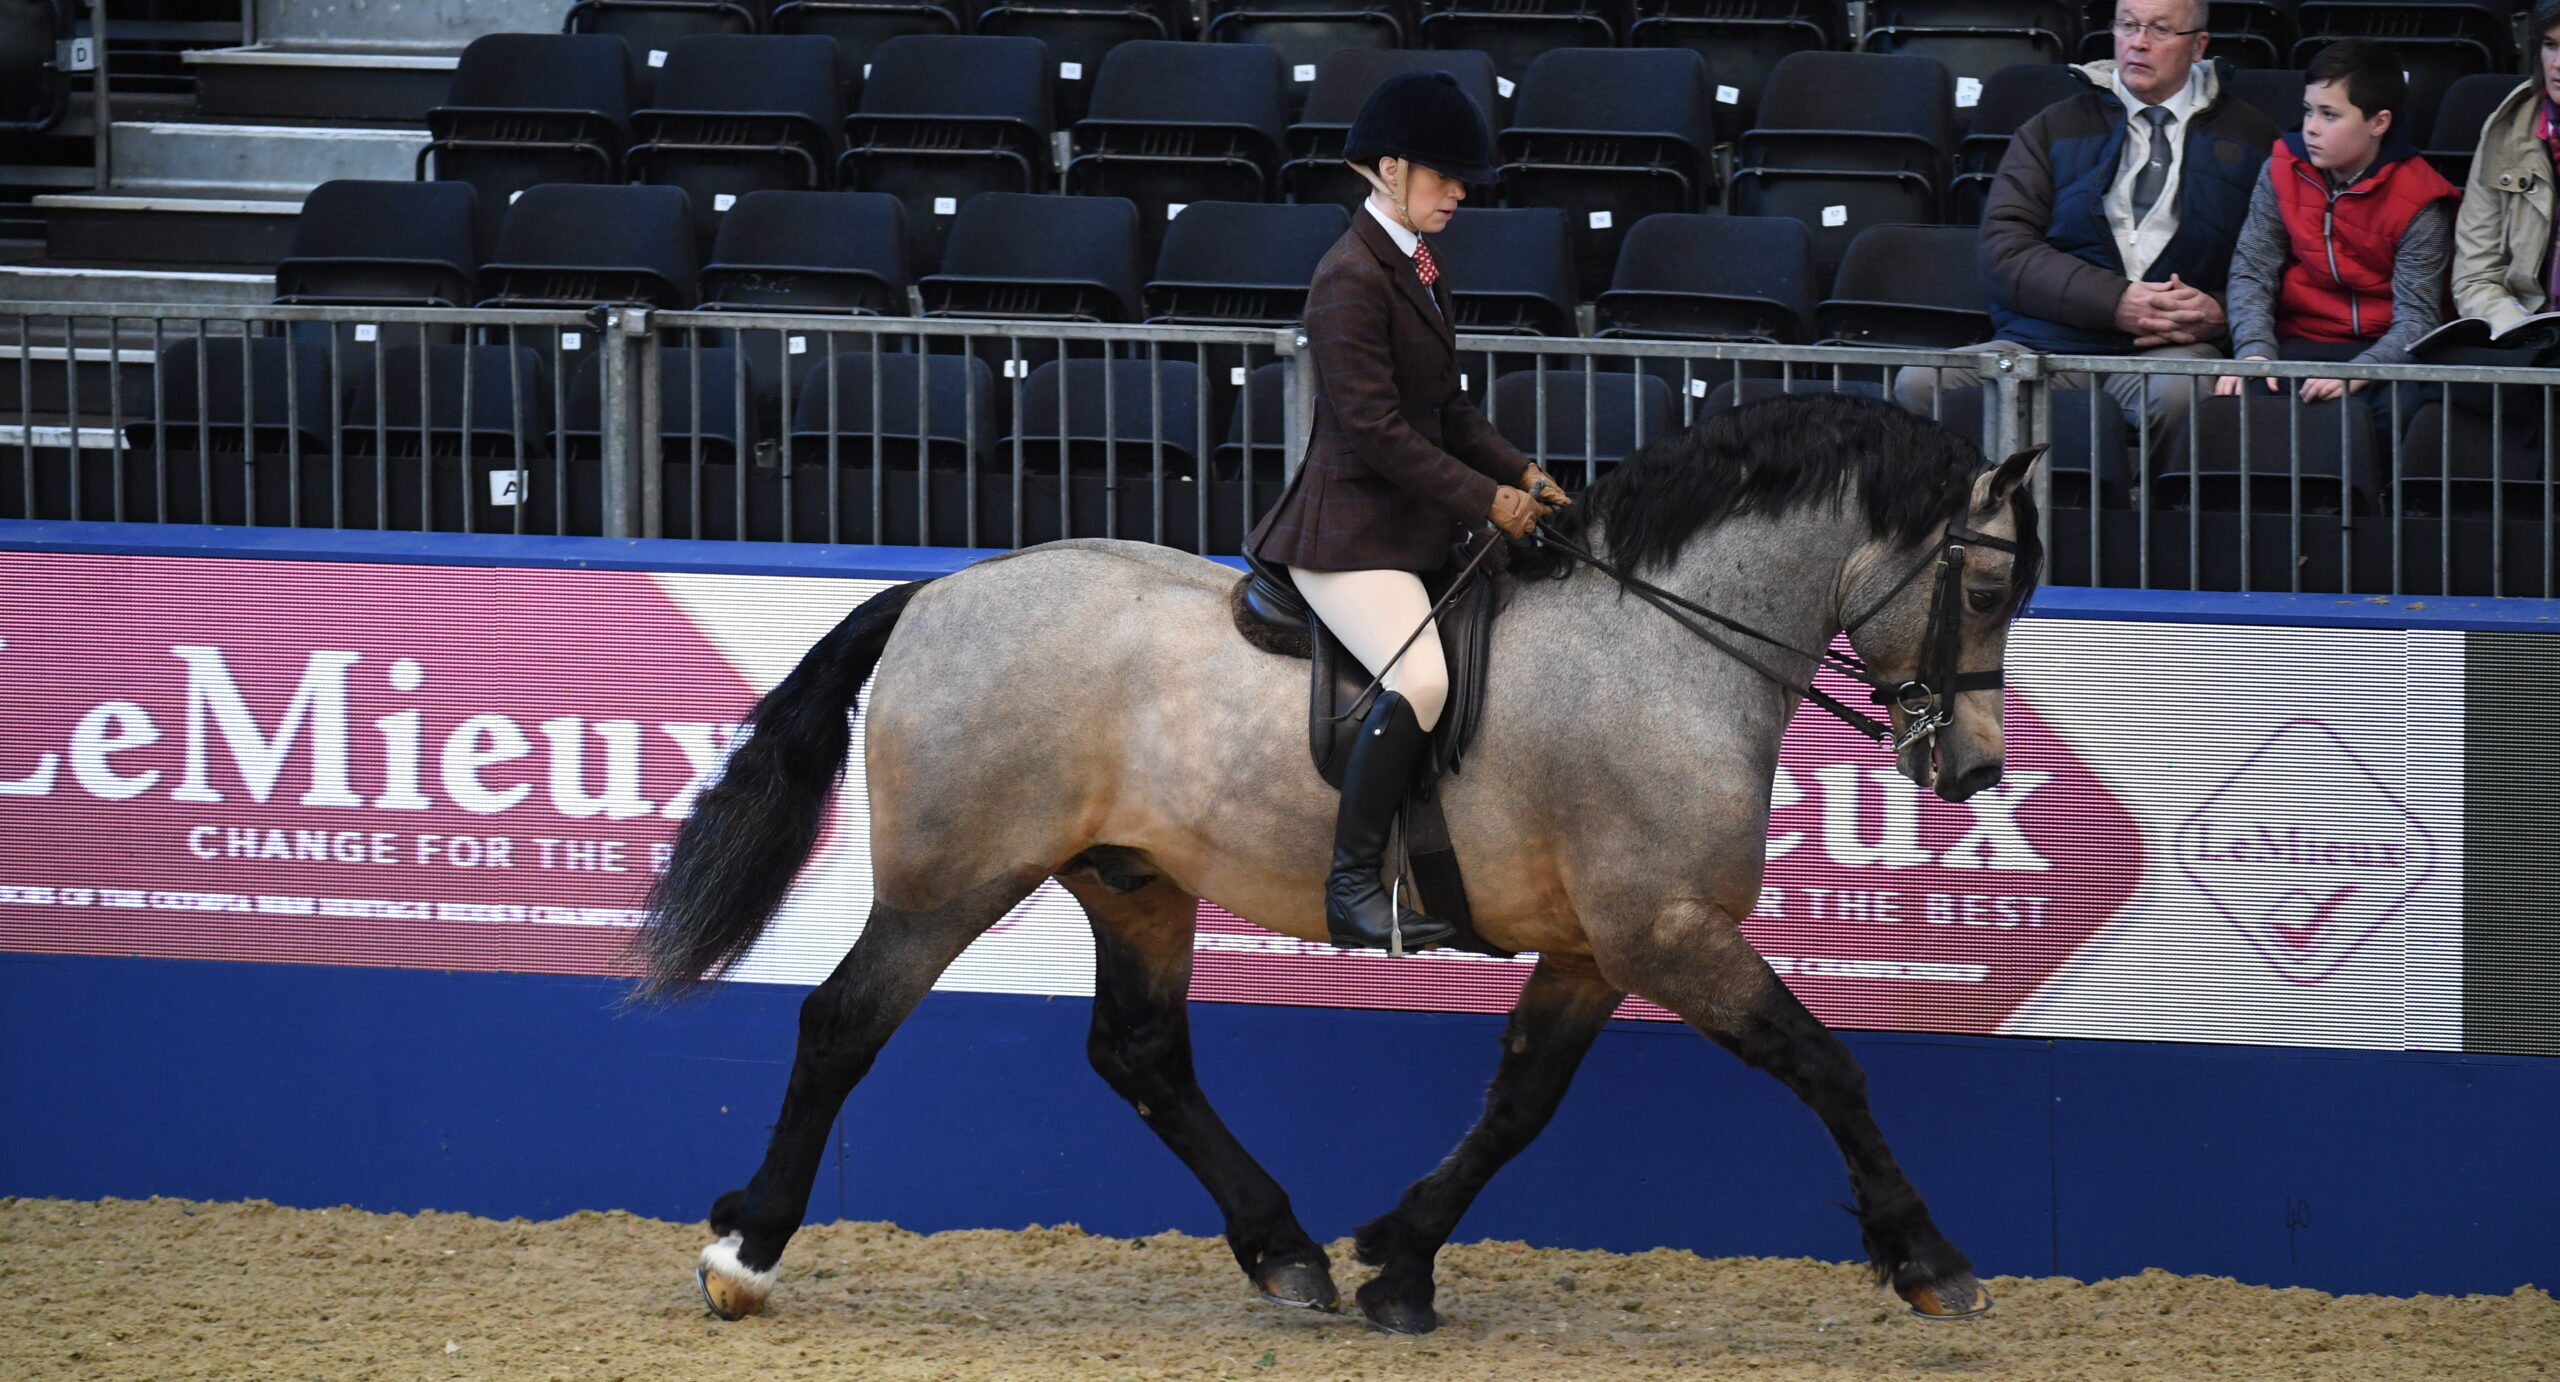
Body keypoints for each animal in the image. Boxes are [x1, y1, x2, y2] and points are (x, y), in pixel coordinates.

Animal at [641, 393, 2044, 1334]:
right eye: (1985, 593)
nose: (1973, 771)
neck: (1660, 650)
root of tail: (934, 593)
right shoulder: (1668, 927)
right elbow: (1824, 1063)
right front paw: (1930, 1256)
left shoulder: (1598, 945)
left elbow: (1519, 1102)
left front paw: (1400, 1260)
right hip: (952, 878)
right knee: (842, 1021)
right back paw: (743, 1252)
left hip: (1131, 877)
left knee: (1140, 1052)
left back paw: (1284, 1249)